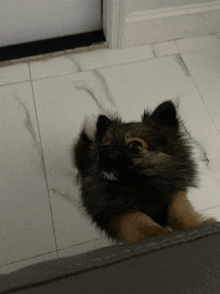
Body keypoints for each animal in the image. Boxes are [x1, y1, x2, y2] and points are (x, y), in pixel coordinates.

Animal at [73, 101, 216, 243]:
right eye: (105, 146)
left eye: (135, 146)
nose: (105, 151)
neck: (139, 184)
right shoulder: (119, 211)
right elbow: (139, 220)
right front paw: (161, 234)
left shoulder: (174, 193)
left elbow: (180, 211)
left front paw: (196, 226)